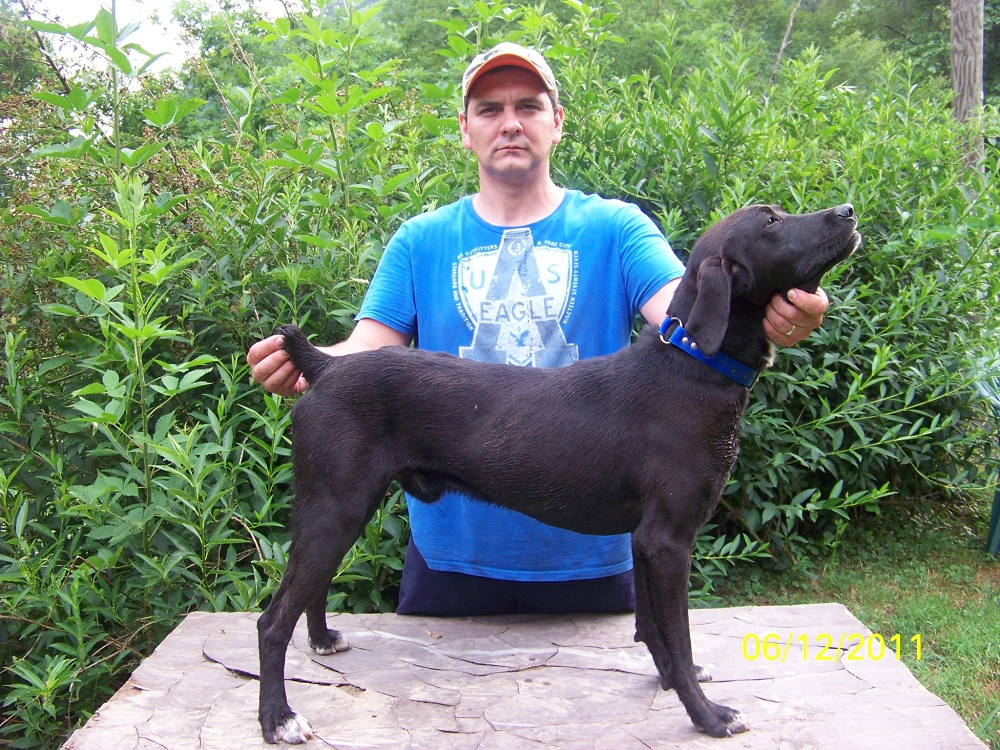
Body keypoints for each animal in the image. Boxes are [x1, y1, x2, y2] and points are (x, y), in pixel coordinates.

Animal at [256, 203, 861, 744]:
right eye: (771, 222)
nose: (849, 211)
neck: (692, 363)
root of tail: (325, 366)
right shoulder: (669, 540)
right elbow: (680, 638)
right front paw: (708, 716)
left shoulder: (644, 539)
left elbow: (654, 631)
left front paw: (671, 683)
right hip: (336, 510)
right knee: (271, 621)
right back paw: (278, 720)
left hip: (340, 511)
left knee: (310, 591)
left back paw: (323, 639)